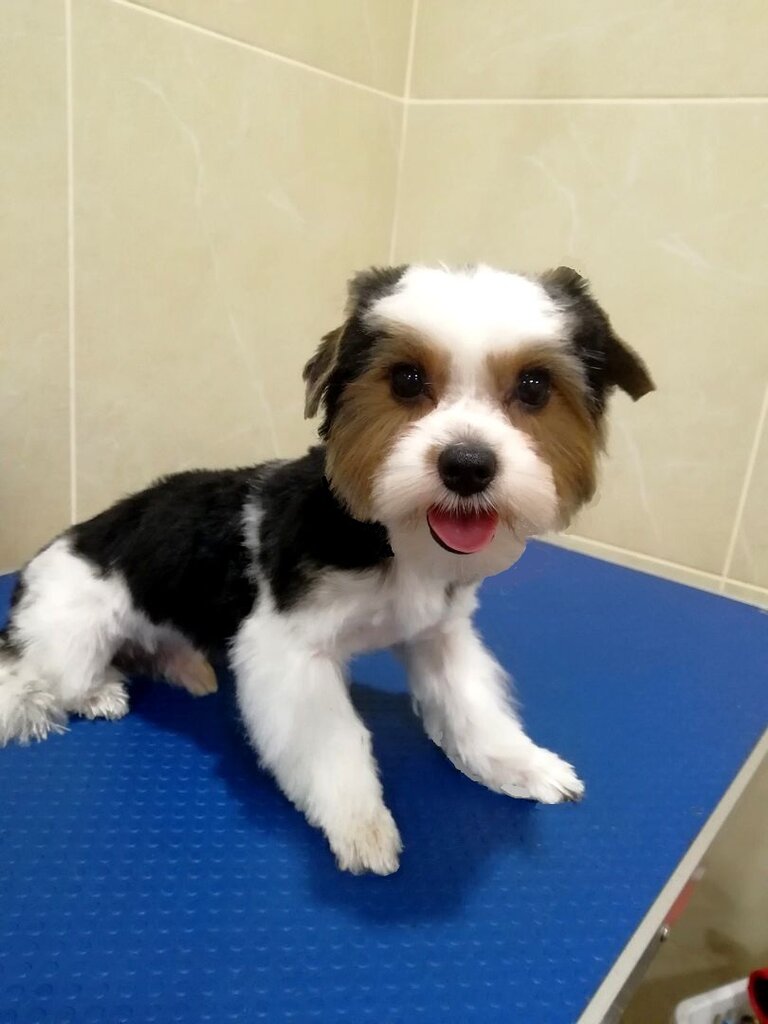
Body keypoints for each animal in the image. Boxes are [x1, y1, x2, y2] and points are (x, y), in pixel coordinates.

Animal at [0, 264, 653, 874]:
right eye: (406, 379)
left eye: (535, 387)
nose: (467, 465)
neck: (389, 539)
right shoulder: (291, 654)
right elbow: (336, 744)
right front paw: (362, 825)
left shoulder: (439, 633)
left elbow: (472, 707)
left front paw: (517, 763)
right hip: (73, 628)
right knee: (62, 677)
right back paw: (100, 692)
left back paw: (187, 667)